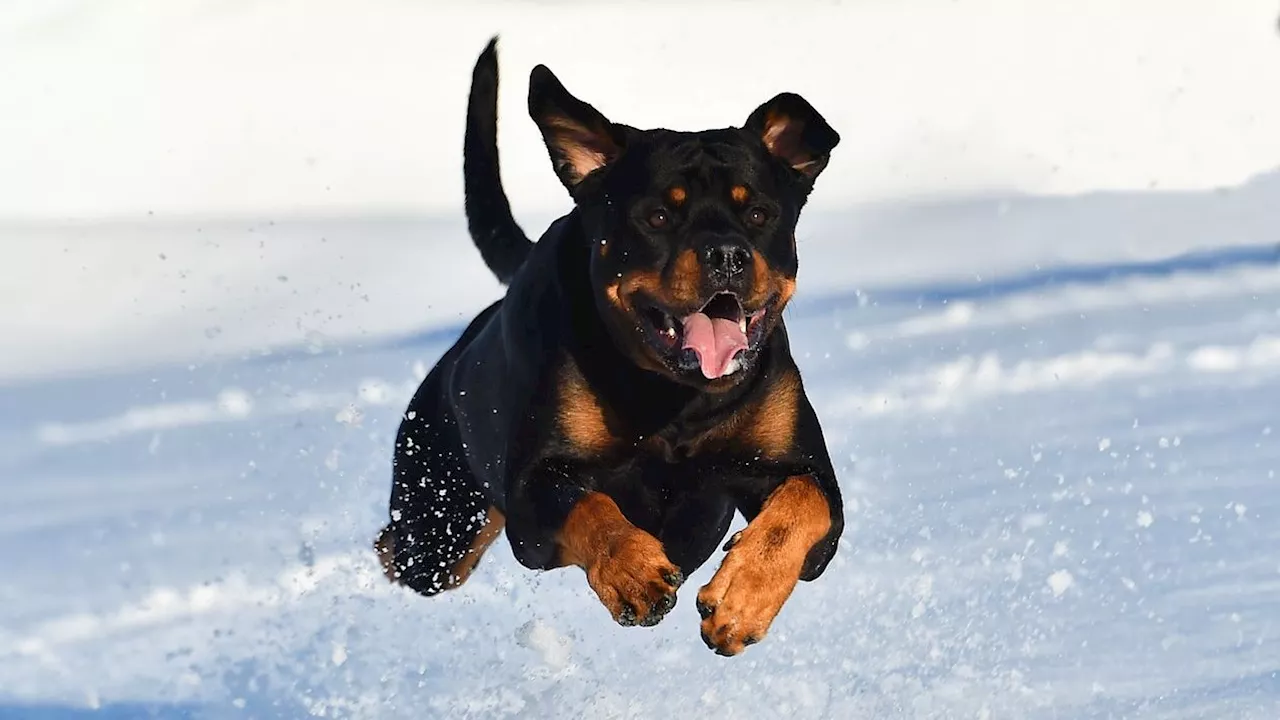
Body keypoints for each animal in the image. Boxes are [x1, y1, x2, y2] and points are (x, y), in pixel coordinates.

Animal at [373, 39, 844, 655]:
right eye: (658, 216)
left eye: (759, 214)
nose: (726, 254)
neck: (674, 399)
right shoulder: (532, 497)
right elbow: (589, 505)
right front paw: (633, 573)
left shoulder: (808, 478)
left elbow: (803, 507)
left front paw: (740, 600)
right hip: (439, 519)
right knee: (397, 549)